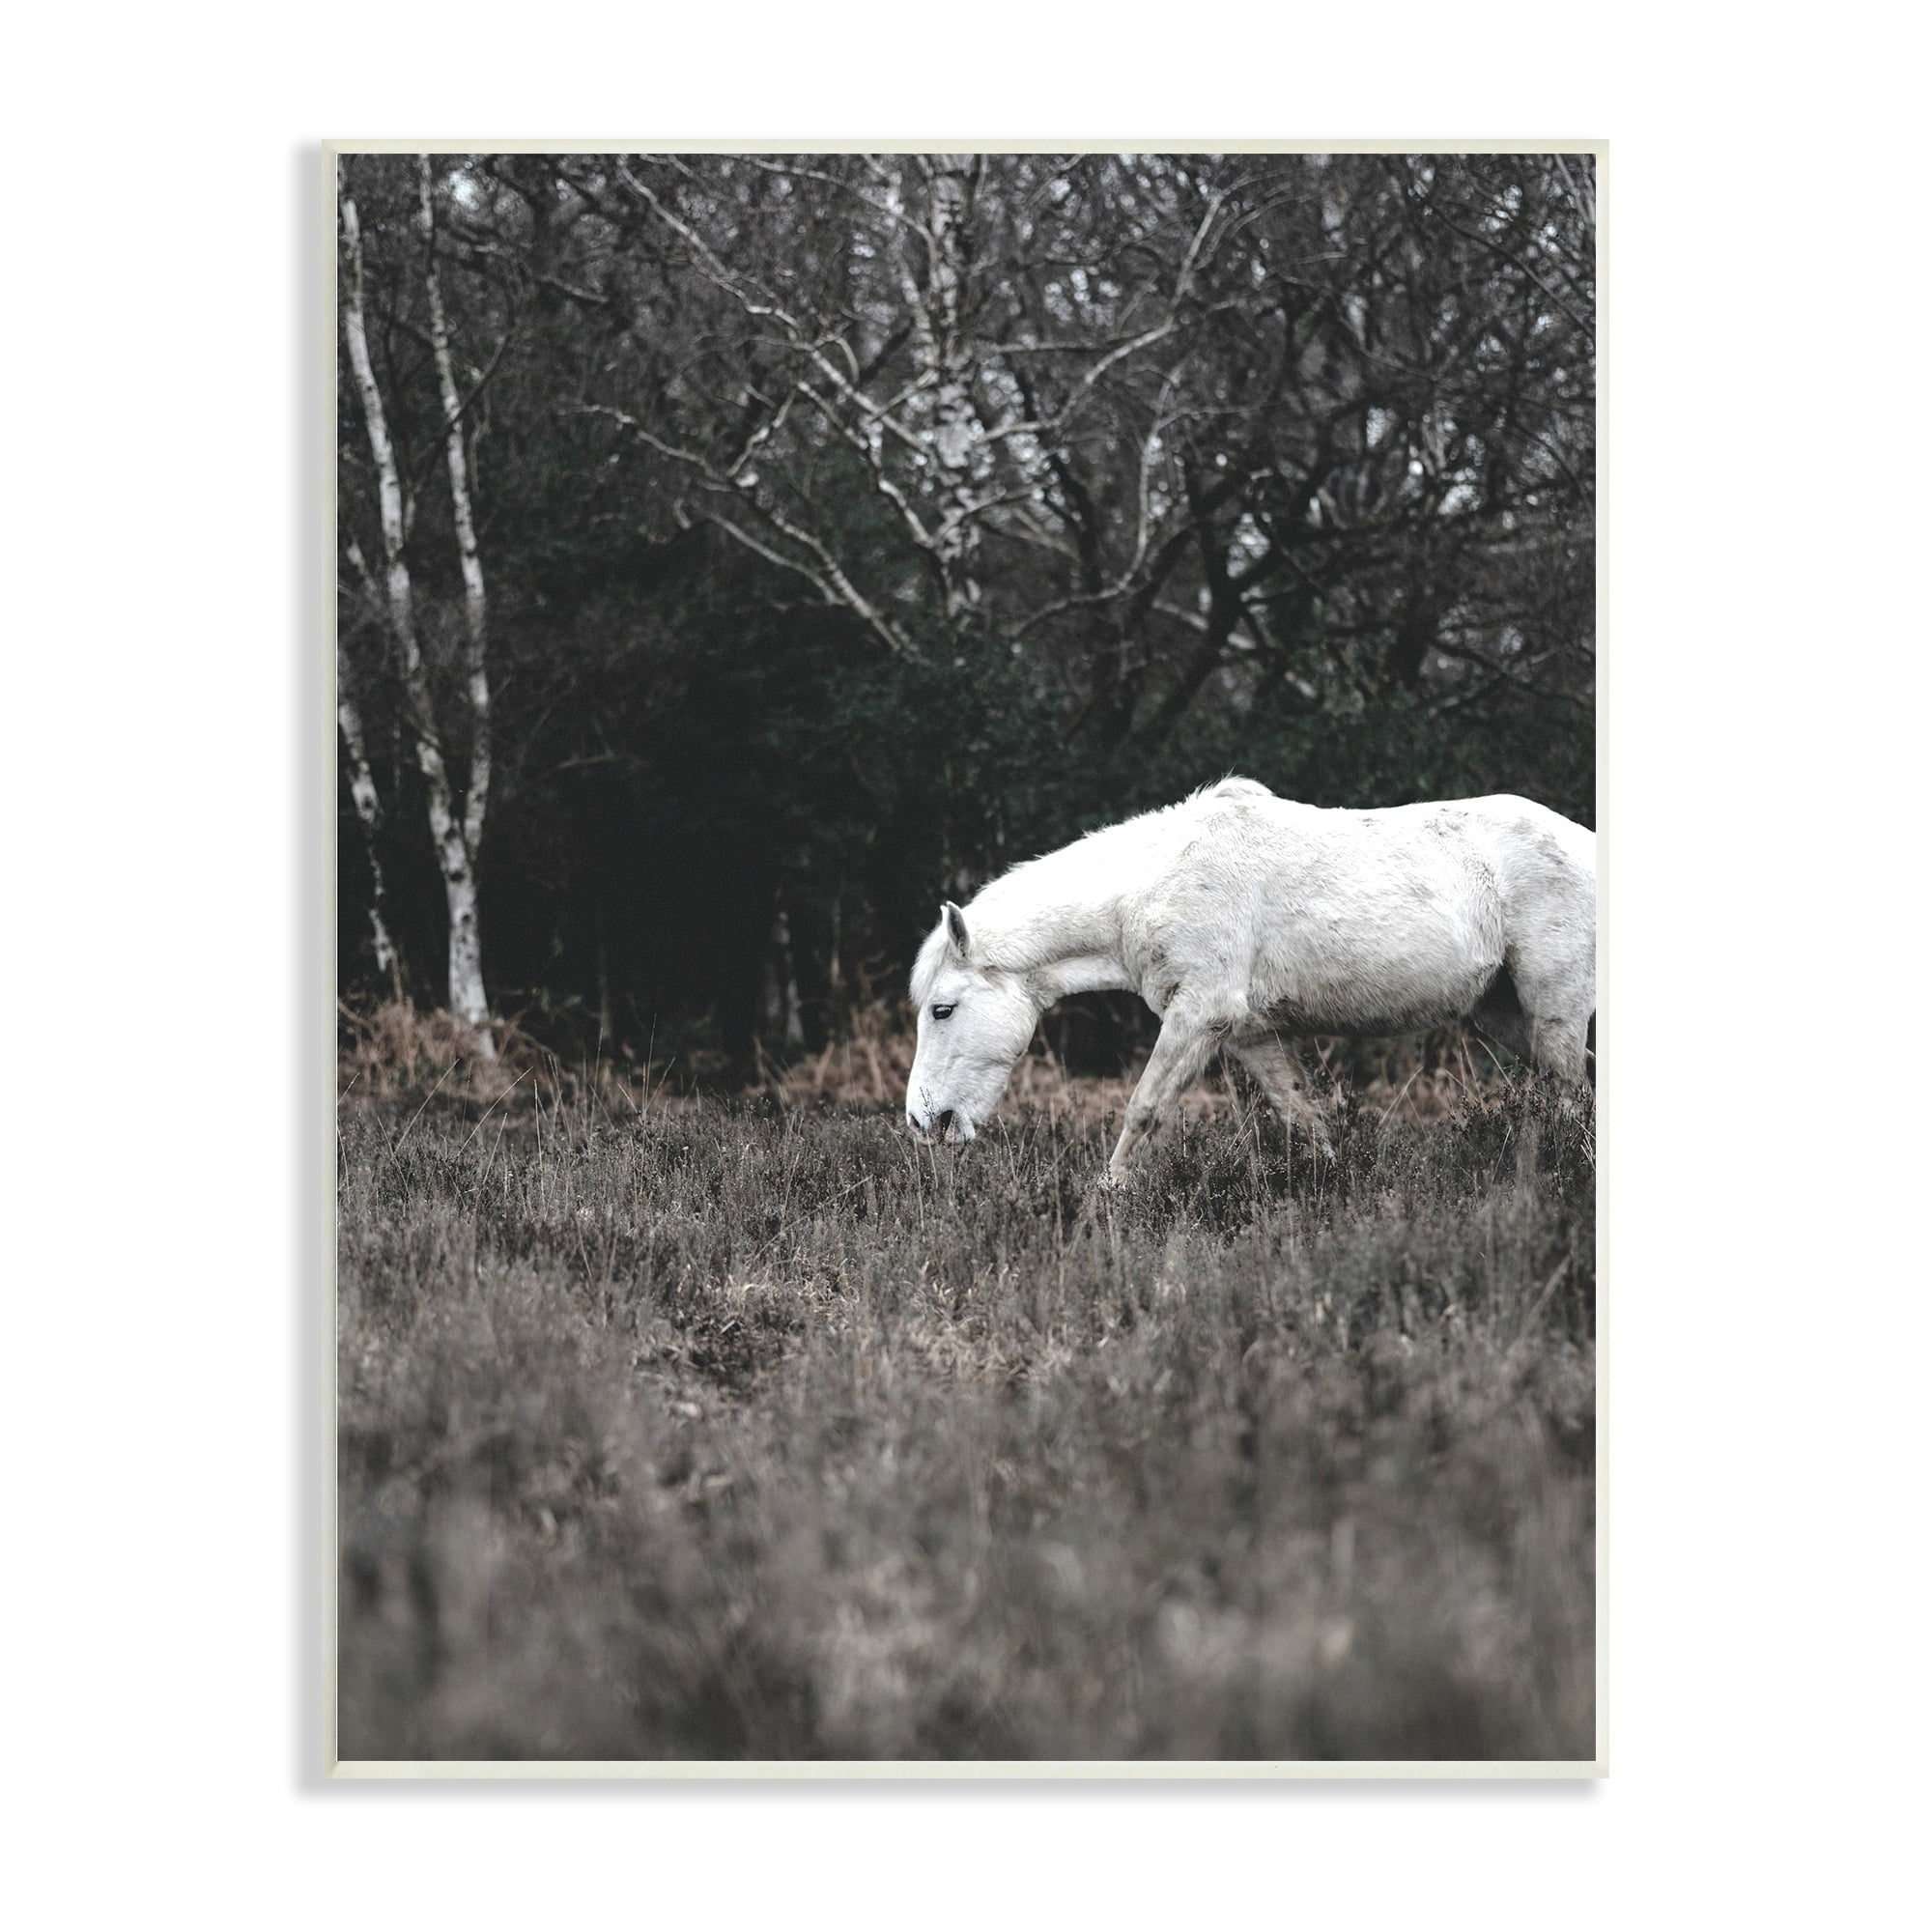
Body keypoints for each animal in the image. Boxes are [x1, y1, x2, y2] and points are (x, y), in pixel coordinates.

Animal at [905, 778, 1596, 1182]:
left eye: (942, 1009)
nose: (922, 1122)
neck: (1151, 884)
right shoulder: (1248, 1034)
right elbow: (1303, 1116)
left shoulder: (1197, 1016)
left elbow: (1144, 1110)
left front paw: (1107, 1201)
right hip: (1505, 1014)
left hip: (1553, 1007)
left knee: (1569, 1094)